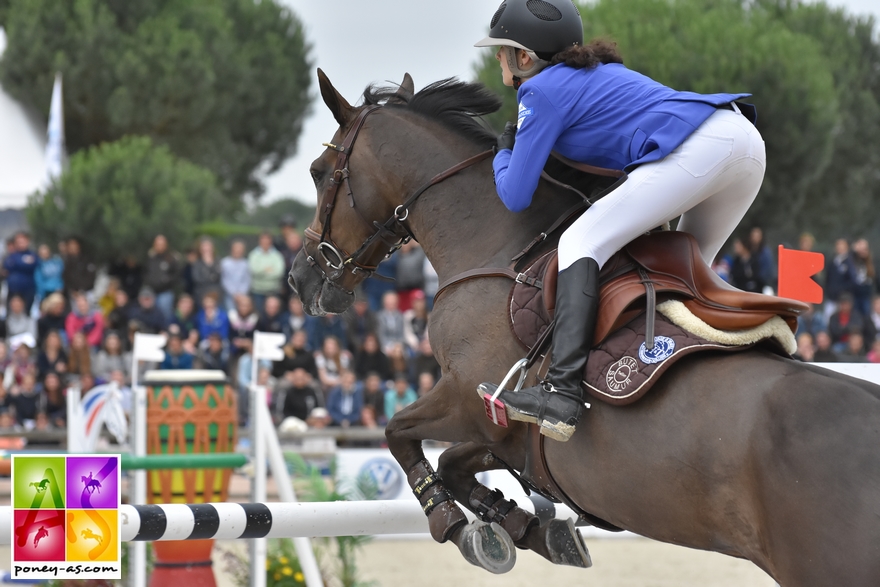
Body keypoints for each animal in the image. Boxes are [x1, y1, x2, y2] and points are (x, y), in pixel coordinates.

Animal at [292, 70, 880, 587]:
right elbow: (457, 462)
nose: (301, 279)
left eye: (320, 171)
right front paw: (527, 527)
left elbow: (398, 431)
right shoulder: (507, 433)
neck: (499, 249)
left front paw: (454, 523)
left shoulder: (469, 398)